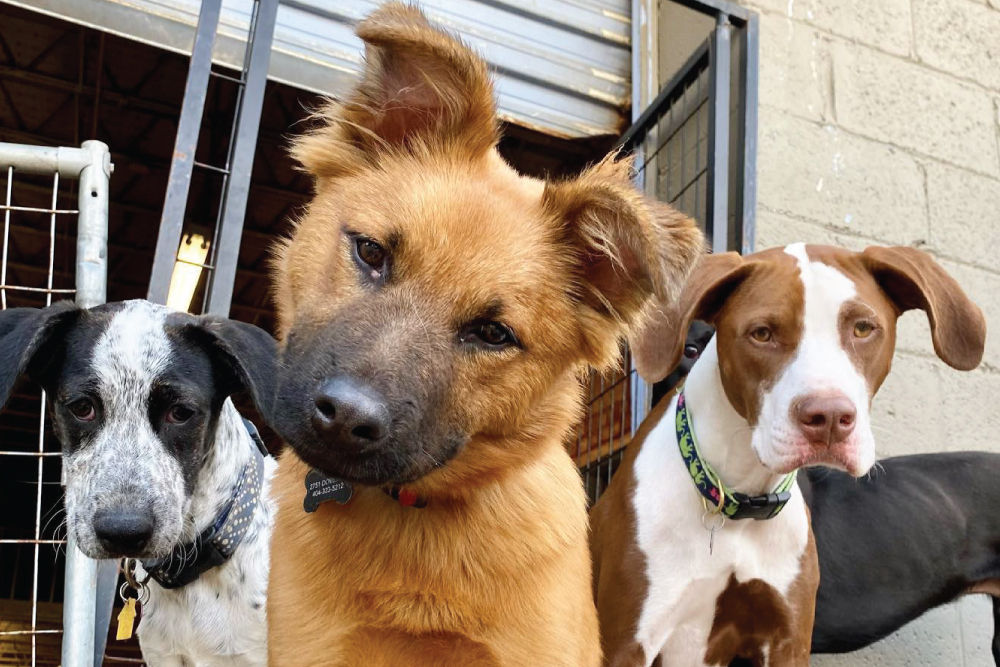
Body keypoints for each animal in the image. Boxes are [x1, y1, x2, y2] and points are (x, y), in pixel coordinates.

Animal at [588, 243, 988, 664]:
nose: (830, 417)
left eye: (863, 328)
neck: (738, 494)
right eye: (762, 334)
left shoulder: (788, 638)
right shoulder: (628, 641)